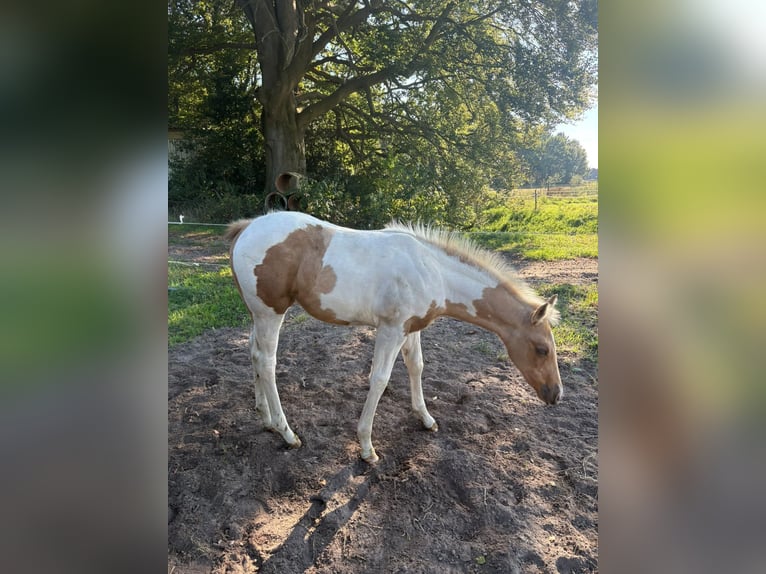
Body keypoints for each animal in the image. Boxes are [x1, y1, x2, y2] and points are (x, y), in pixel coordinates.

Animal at [225, 211, 562, 463]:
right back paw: (287, 433)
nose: (556, 395)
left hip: (257, 315)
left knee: (253, 353)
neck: (433, 270)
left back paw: (266, 419)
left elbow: (416, 367)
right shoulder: (392, 329)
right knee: (267, 362)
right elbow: (379, 378)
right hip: (271, 312)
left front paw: (425, 419)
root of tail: (247, 227)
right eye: (542, 349)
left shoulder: (410, 328)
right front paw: (366, 447)